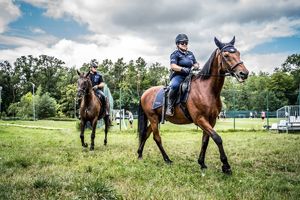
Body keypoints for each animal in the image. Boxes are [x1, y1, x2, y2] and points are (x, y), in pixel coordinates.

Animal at [138, 36, 248, 174]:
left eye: (238, 53)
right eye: (226, 55)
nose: (244, 73)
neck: (207, 89)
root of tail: (144, 93)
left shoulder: (211, 120)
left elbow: (205, 140)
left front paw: (202, 163)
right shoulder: (200, 119)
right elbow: (217, 138)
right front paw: (226, 166)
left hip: (156, 119)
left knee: (145, 134)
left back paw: (140, 154)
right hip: (152, 118)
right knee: (156, 138)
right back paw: (167, 159)